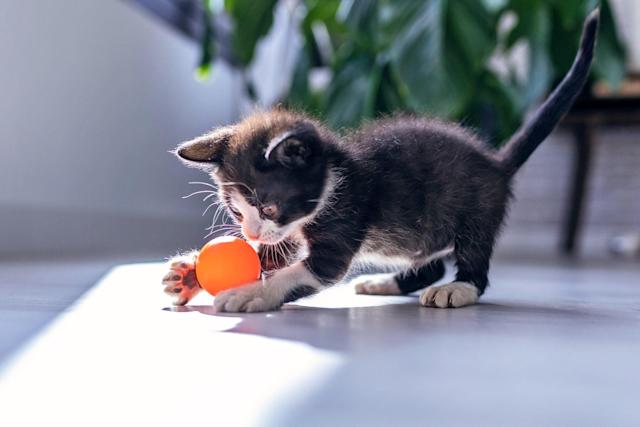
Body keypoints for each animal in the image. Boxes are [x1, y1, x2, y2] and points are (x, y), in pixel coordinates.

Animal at [161, 11, 600, 312]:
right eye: (237, 213)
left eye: (268, 206)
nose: (248, 234)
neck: (334, 177)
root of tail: (496, 161)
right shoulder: (289, 231)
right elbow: (275, 253)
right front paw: (189, 275)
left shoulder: (344, 216)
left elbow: (303, 270)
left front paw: (253, 292)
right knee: (430, 262)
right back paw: (386, 283)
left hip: (477, 208)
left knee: (473, 256)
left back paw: (458, 288)